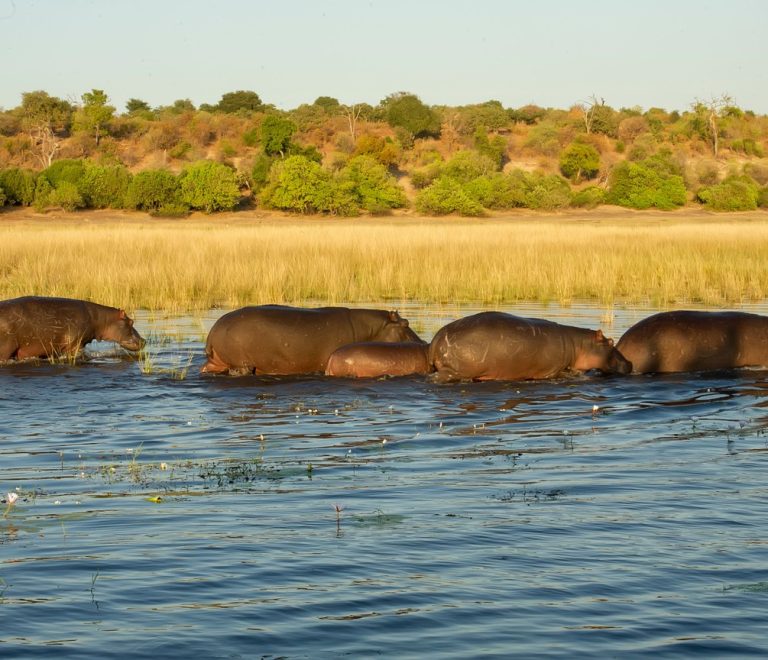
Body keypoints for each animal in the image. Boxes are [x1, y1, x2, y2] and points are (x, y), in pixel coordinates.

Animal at [201, 305, 423, 375]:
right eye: (406, 324)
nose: (422, 343)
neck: (372, 328)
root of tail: (213, 331)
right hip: (241, 364)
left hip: (216, 362)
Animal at [428, 311, 631, 382]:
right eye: (610, 342)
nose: (629, 363)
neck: (579, 345)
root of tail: (436, 338)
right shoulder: (552, 371)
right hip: (454, 371)